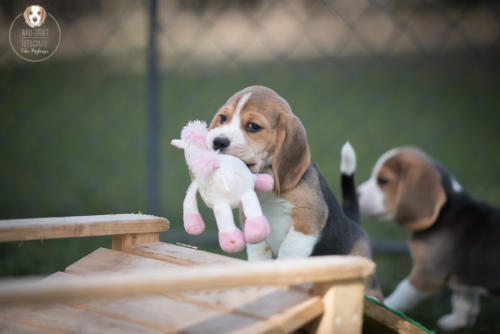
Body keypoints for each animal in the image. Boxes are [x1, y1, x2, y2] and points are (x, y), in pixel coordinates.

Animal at [205, 85, 380, 298]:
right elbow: (258, 248)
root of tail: (353, 223)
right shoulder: (250, 218)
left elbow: (289, 249)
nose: (218, 142)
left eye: (253, 126)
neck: (266, 184)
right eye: (222, 118)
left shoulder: (308, 218)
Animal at [358, 147, 500, 330]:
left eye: (383, 181)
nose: (357, 193)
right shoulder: (464, 278)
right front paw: (454, 323)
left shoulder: (427, 274)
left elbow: (402, 292)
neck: (444, 212)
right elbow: (464, 303)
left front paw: (384, 306)